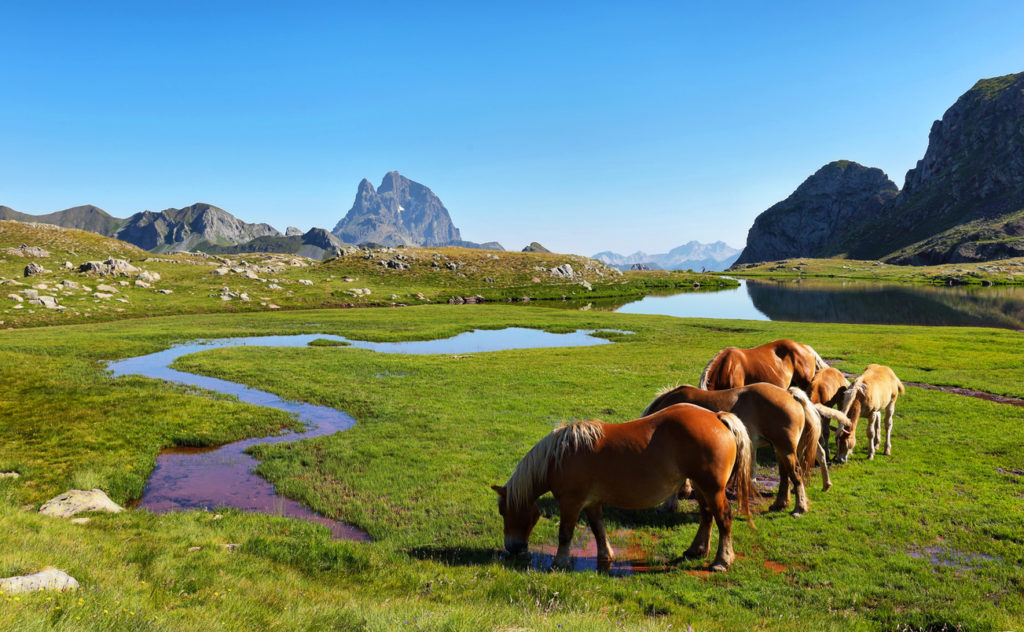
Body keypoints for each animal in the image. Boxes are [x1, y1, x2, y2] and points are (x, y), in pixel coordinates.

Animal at [491, 403, 757, 573]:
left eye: (504, 511)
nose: (512, 548)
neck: (560, 456)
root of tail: (717, 417)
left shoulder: (571, 503)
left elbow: (565, 534)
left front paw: (559, 563)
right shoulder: (591, 503)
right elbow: (599, 529)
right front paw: (606, 556)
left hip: (713, 489)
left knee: (723, 518)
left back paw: (722, 561)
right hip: (702, 488)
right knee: (706, 516)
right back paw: (695, 550)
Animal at [647, 378, 847, 512]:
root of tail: (789, 394)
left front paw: (670, 504)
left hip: (786, 448)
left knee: (795, 473)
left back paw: (799, 507)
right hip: (782, 448)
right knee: (786, 474)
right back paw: (782, 502)